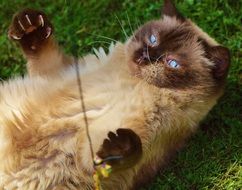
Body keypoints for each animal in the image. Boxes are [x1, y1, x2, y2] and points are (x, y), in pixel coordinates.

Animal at [0, 0, 231, 189]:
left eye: (172, 63)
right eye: (153, 39)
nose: (143, 56)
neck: (133, 82)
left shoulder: (86, 156)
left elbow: (111, 155)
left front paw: (119, 146)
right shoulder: (58, 73)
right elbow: (42, 52)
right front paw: (30, 24)